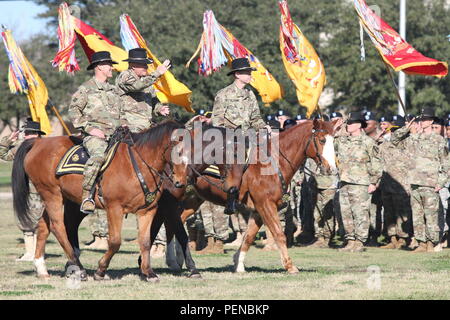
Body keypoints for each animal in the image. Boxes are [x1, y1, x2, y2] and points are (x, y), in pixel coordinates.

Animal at [11, 121, 190, 282]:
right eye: (178, 151)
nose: (181, 181)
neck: (138, 166)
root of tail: (38, 143)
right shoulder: (114, 208)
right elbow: (115, 242)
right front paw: (101, 271)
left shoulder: (147, 211)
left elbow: (145, 242)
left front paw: (149, 273)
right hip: (52, 195)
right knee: (58, 228)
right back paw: (79, 269)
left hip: (53, 197)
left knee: (43, 227)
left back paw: (41, 268)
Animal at [176, 119, 338, 274]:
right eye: (322, 140)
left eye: (333, 140)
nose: (331, 168)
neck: (273, 164)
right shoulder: (266, 205)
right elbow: (279, 234)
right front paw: (290, 266)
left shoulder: (257, 211)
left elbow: (248, 237)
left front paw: (239, 265)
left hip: (194, 200)